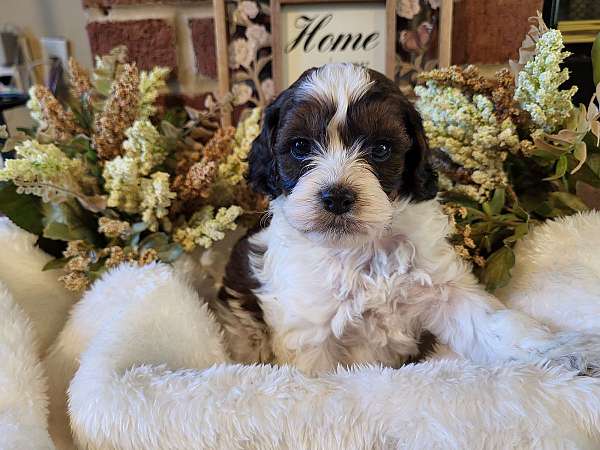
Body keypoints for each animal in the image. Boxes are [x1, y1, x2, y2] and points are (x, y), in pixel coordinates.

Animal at [209, 61, 596, 374]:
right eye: (300, 147)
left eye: (381, 149)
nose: (337, 197)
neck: (362, 249)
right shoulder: (309, 332)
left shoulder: (444, 289)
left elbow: (495, 325)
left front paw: (568, 352)